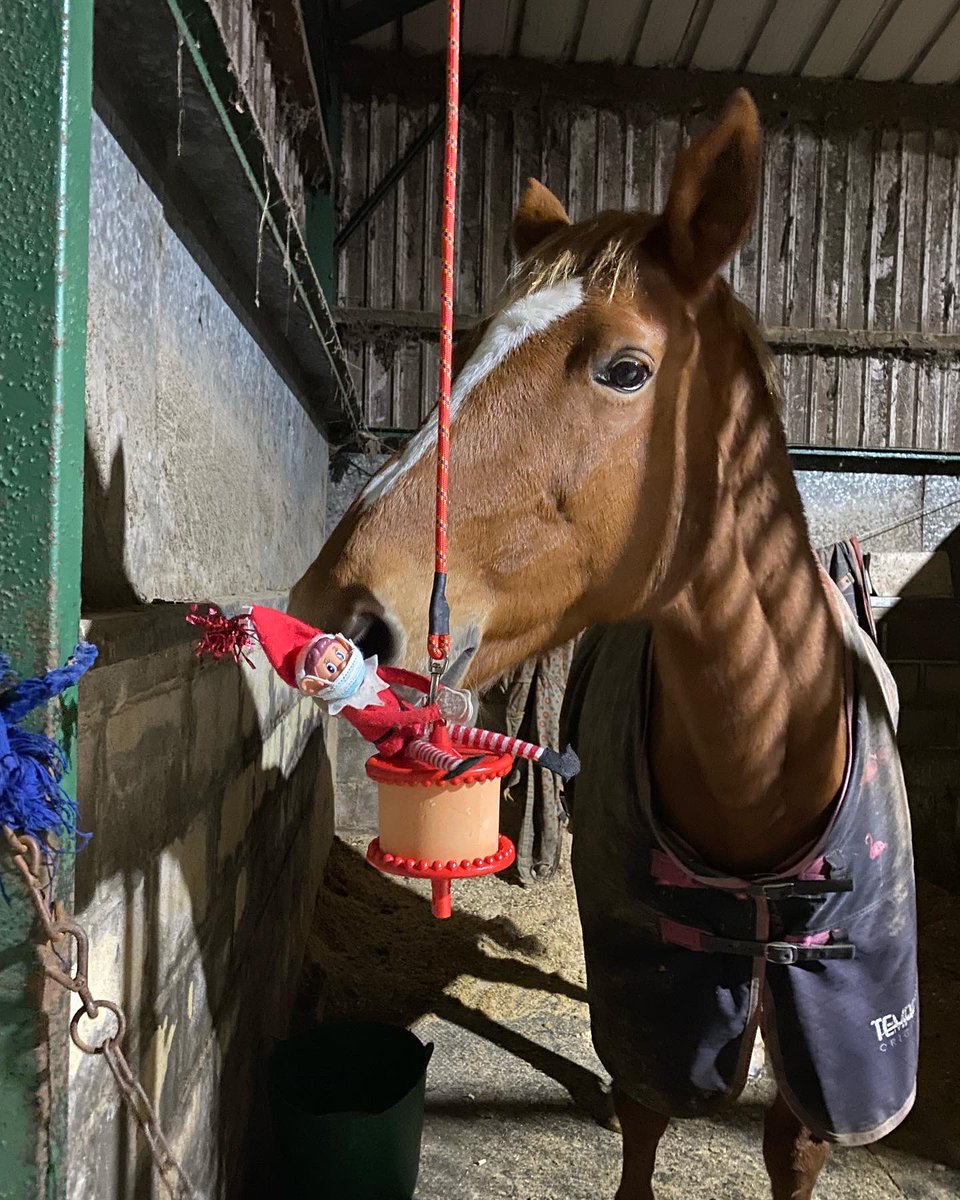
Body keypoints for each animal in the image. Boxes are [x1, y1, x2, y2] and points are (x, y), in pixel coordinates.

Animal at [291, 90, 918, 1200]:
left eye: (627, 369)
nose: (338, 609)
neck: (763, 776)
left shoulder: (840, 1033)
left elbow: (791, 1142)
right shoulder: (654, 1009)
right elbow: (641, 1121)